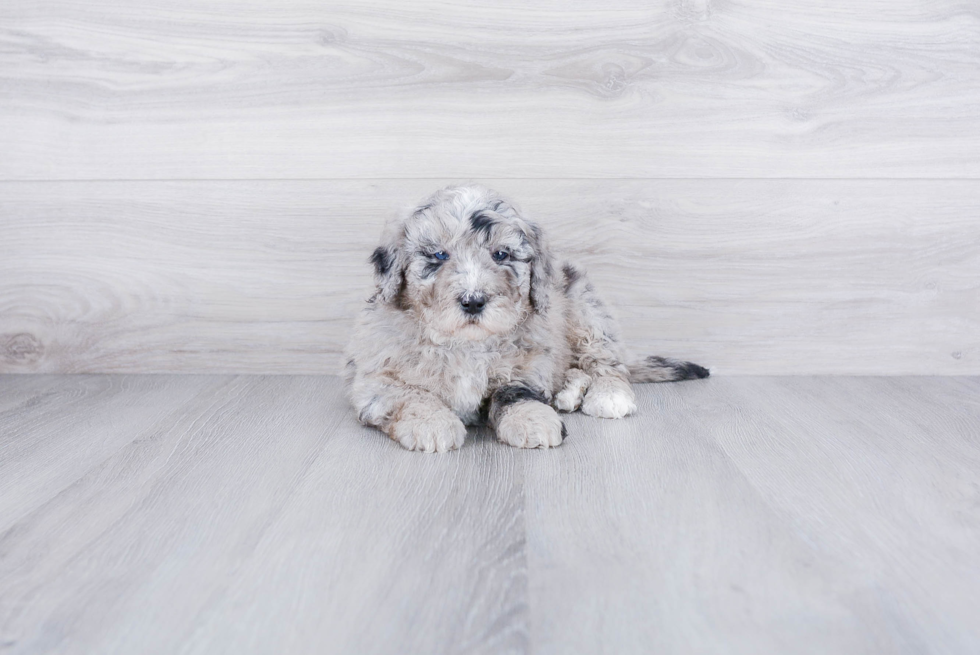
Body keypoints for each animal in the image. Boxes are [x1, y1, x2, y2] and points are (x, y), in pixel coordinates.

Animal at [342, 184, 704, 452]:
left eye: (501, 255)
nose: (473, 301)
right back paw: (568, 393)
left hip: (586, 307)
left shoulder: (528, 367)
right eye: (439, 255)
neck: (466, 344)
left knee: (605, 361)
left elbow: (515, 392)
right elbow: (410, 394)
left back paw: (607, 395)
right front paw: (432, 424)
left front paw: (533, 420)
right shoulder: (373, 379)